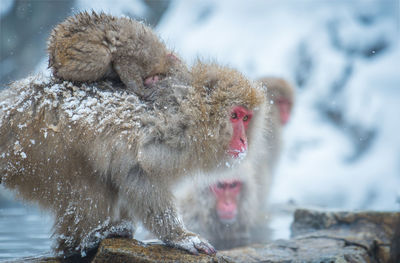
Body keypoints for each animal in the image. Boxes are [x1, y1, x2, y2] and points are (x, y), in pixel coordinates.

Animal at [47, 11, 184, 99]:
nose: (155, 79)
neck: (161, 58)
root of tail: (54, 51)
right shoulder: (142, 54)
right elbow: (124, 67)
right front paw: (143, 91)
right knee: (103, 57)